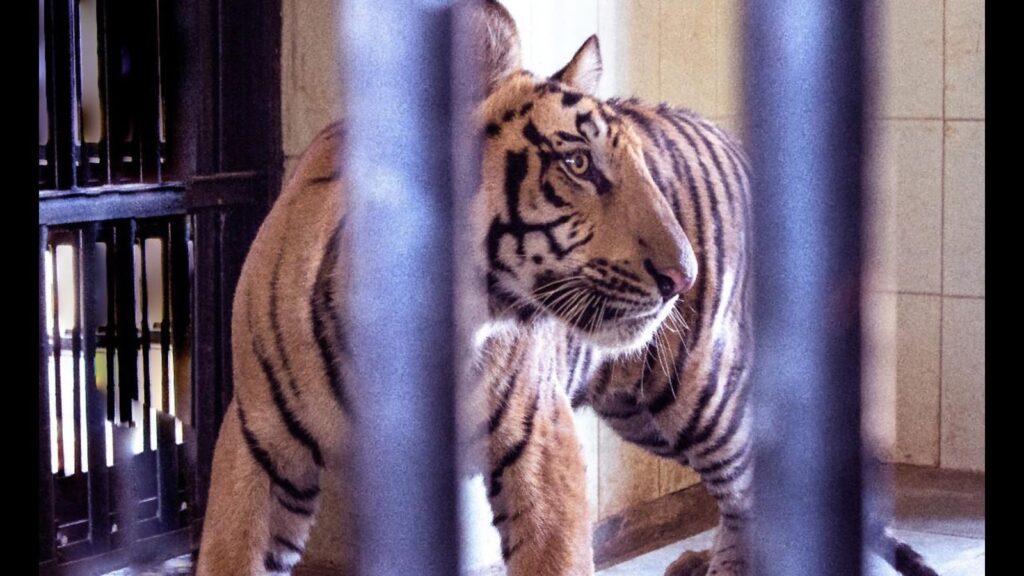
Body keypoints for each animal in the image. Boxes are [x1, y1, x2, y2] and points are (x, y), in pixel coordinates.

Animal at [195, 2, 938, 576]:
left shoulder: (541, 444)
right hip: (642, 408)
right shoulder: (260, 445)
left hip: (701, 397)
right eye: (579, 164)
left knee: (755, 494)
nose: (683, 277)